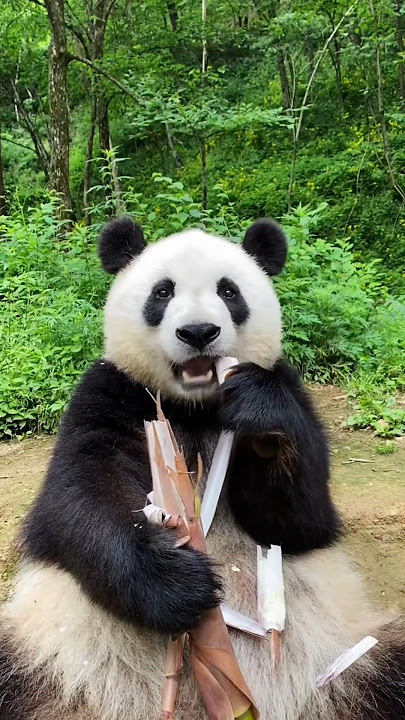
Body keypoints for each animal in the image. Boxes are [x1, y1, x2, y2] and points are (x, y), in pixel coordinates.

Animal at [0, 217, 404, 720]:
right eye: (162, 292)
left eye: (229, 291)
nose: (198, 332)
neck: (193, 409)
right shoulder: (111, 395)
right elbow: (81, 499)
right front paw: (178, 583)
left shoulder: (286, 388)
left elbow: (300, 522)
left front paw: (261, 418)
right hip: (42, 656)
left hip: (353, 660)